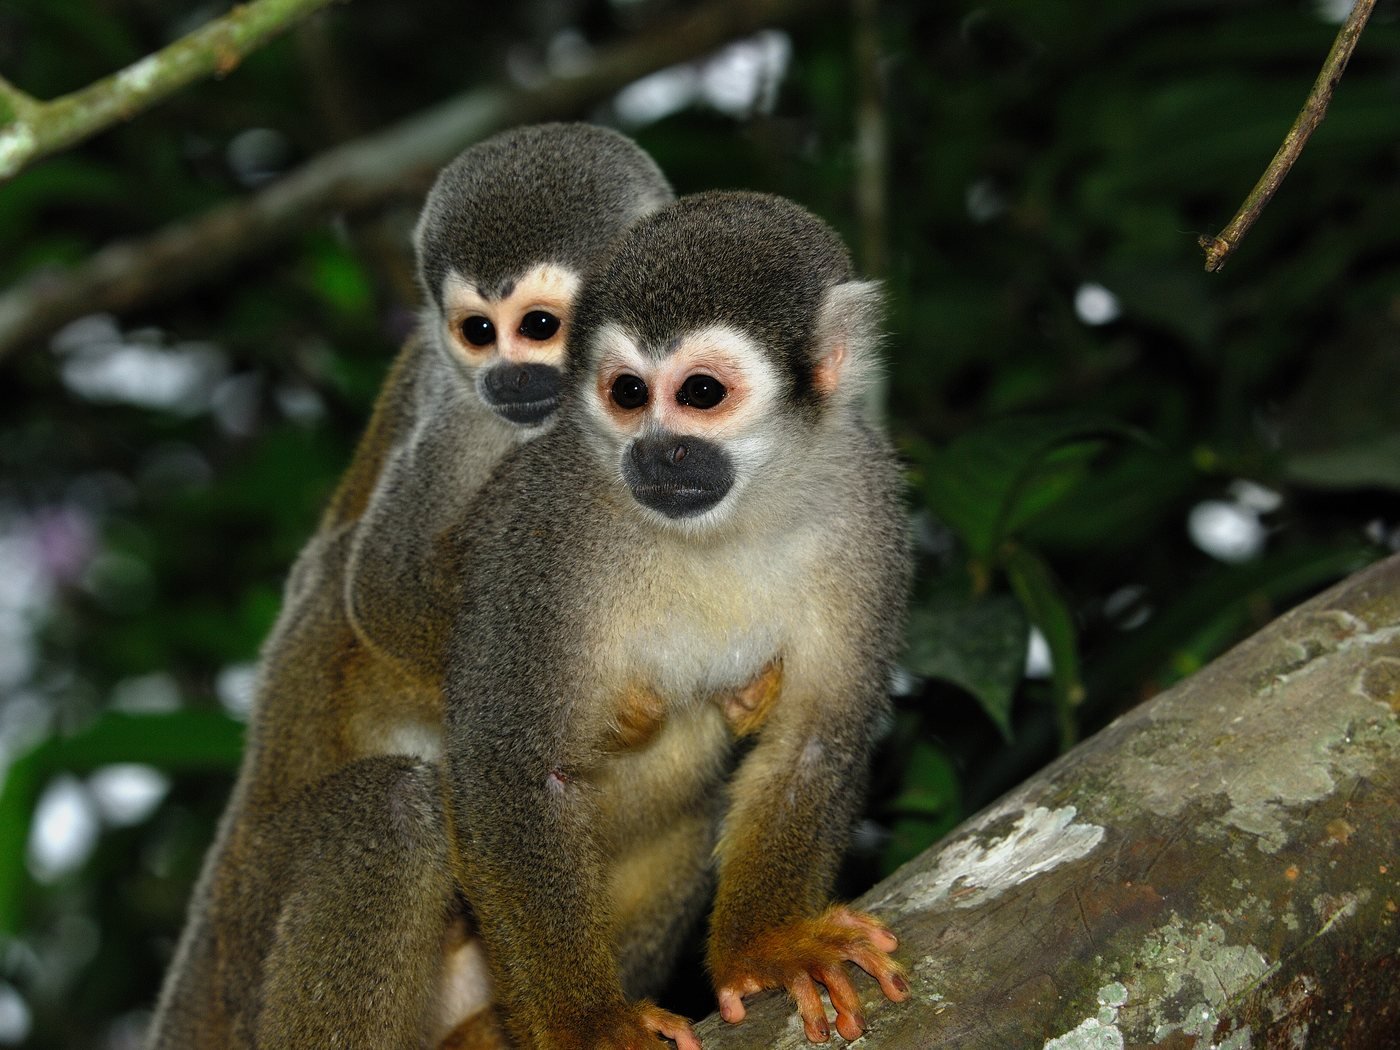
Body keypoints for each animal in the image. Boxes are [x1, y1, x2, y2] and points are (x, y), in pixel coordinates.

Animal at [146, 123, 673, 1049]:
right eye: (478, 331)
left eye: (540, 327)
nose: (510, 378)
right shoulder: (455, 410)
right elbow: (383, 587)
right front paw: (618, 712)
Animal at [442, 190, 913, 1048]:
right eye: (629, 395)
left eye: (699, 394)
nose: (659, 454)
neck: (724, 525)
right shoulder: (547, 529)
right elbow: (509, 767)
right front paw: (586, 1023)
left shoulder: (866, 506)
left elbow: (815, 736)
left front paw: (769, 944)